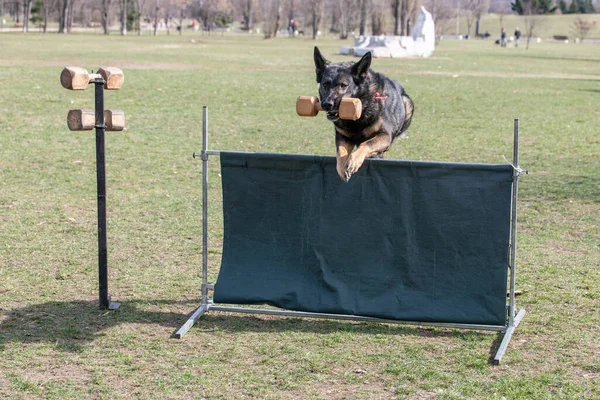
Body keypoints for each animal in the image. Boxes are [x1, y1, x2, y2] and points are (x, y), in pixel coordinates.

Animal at [312, 46, 414, 181]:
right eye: (325, 85)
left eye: (343, 85)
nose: (327, 104)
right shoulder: (343, 137)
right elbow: (341, 151)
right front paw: (342, 167)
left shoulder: (385, 135)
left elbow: (366, 144)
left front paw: (353, 161)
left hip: (408, 105)